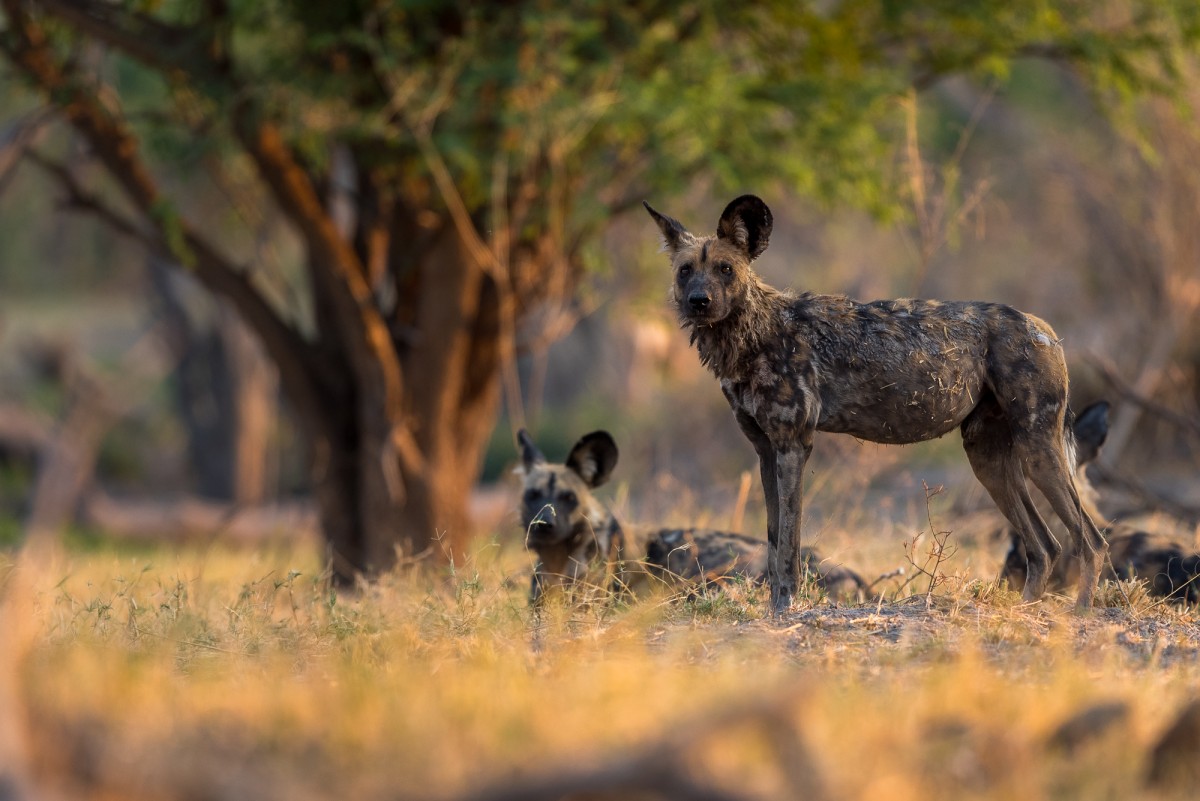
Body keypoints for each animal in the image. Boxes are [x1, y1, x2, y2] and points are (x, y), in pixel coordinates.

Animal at [648, 191, 1104, 613]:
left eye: (725, 269)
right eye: (686, 271)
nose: (699, 301)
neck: (753, 335)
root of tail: (1042, 327)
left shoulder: (793, 446)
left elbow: (790, 544)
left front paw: (786, 608)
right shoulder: (766, 450)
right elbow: (775, 541)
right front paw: (775, 610)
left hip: (1038, 449)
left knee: (1090, 540)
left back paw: (1081, 613)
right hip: (988, 459)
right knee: (1045, 545)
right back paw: (1026, 608)